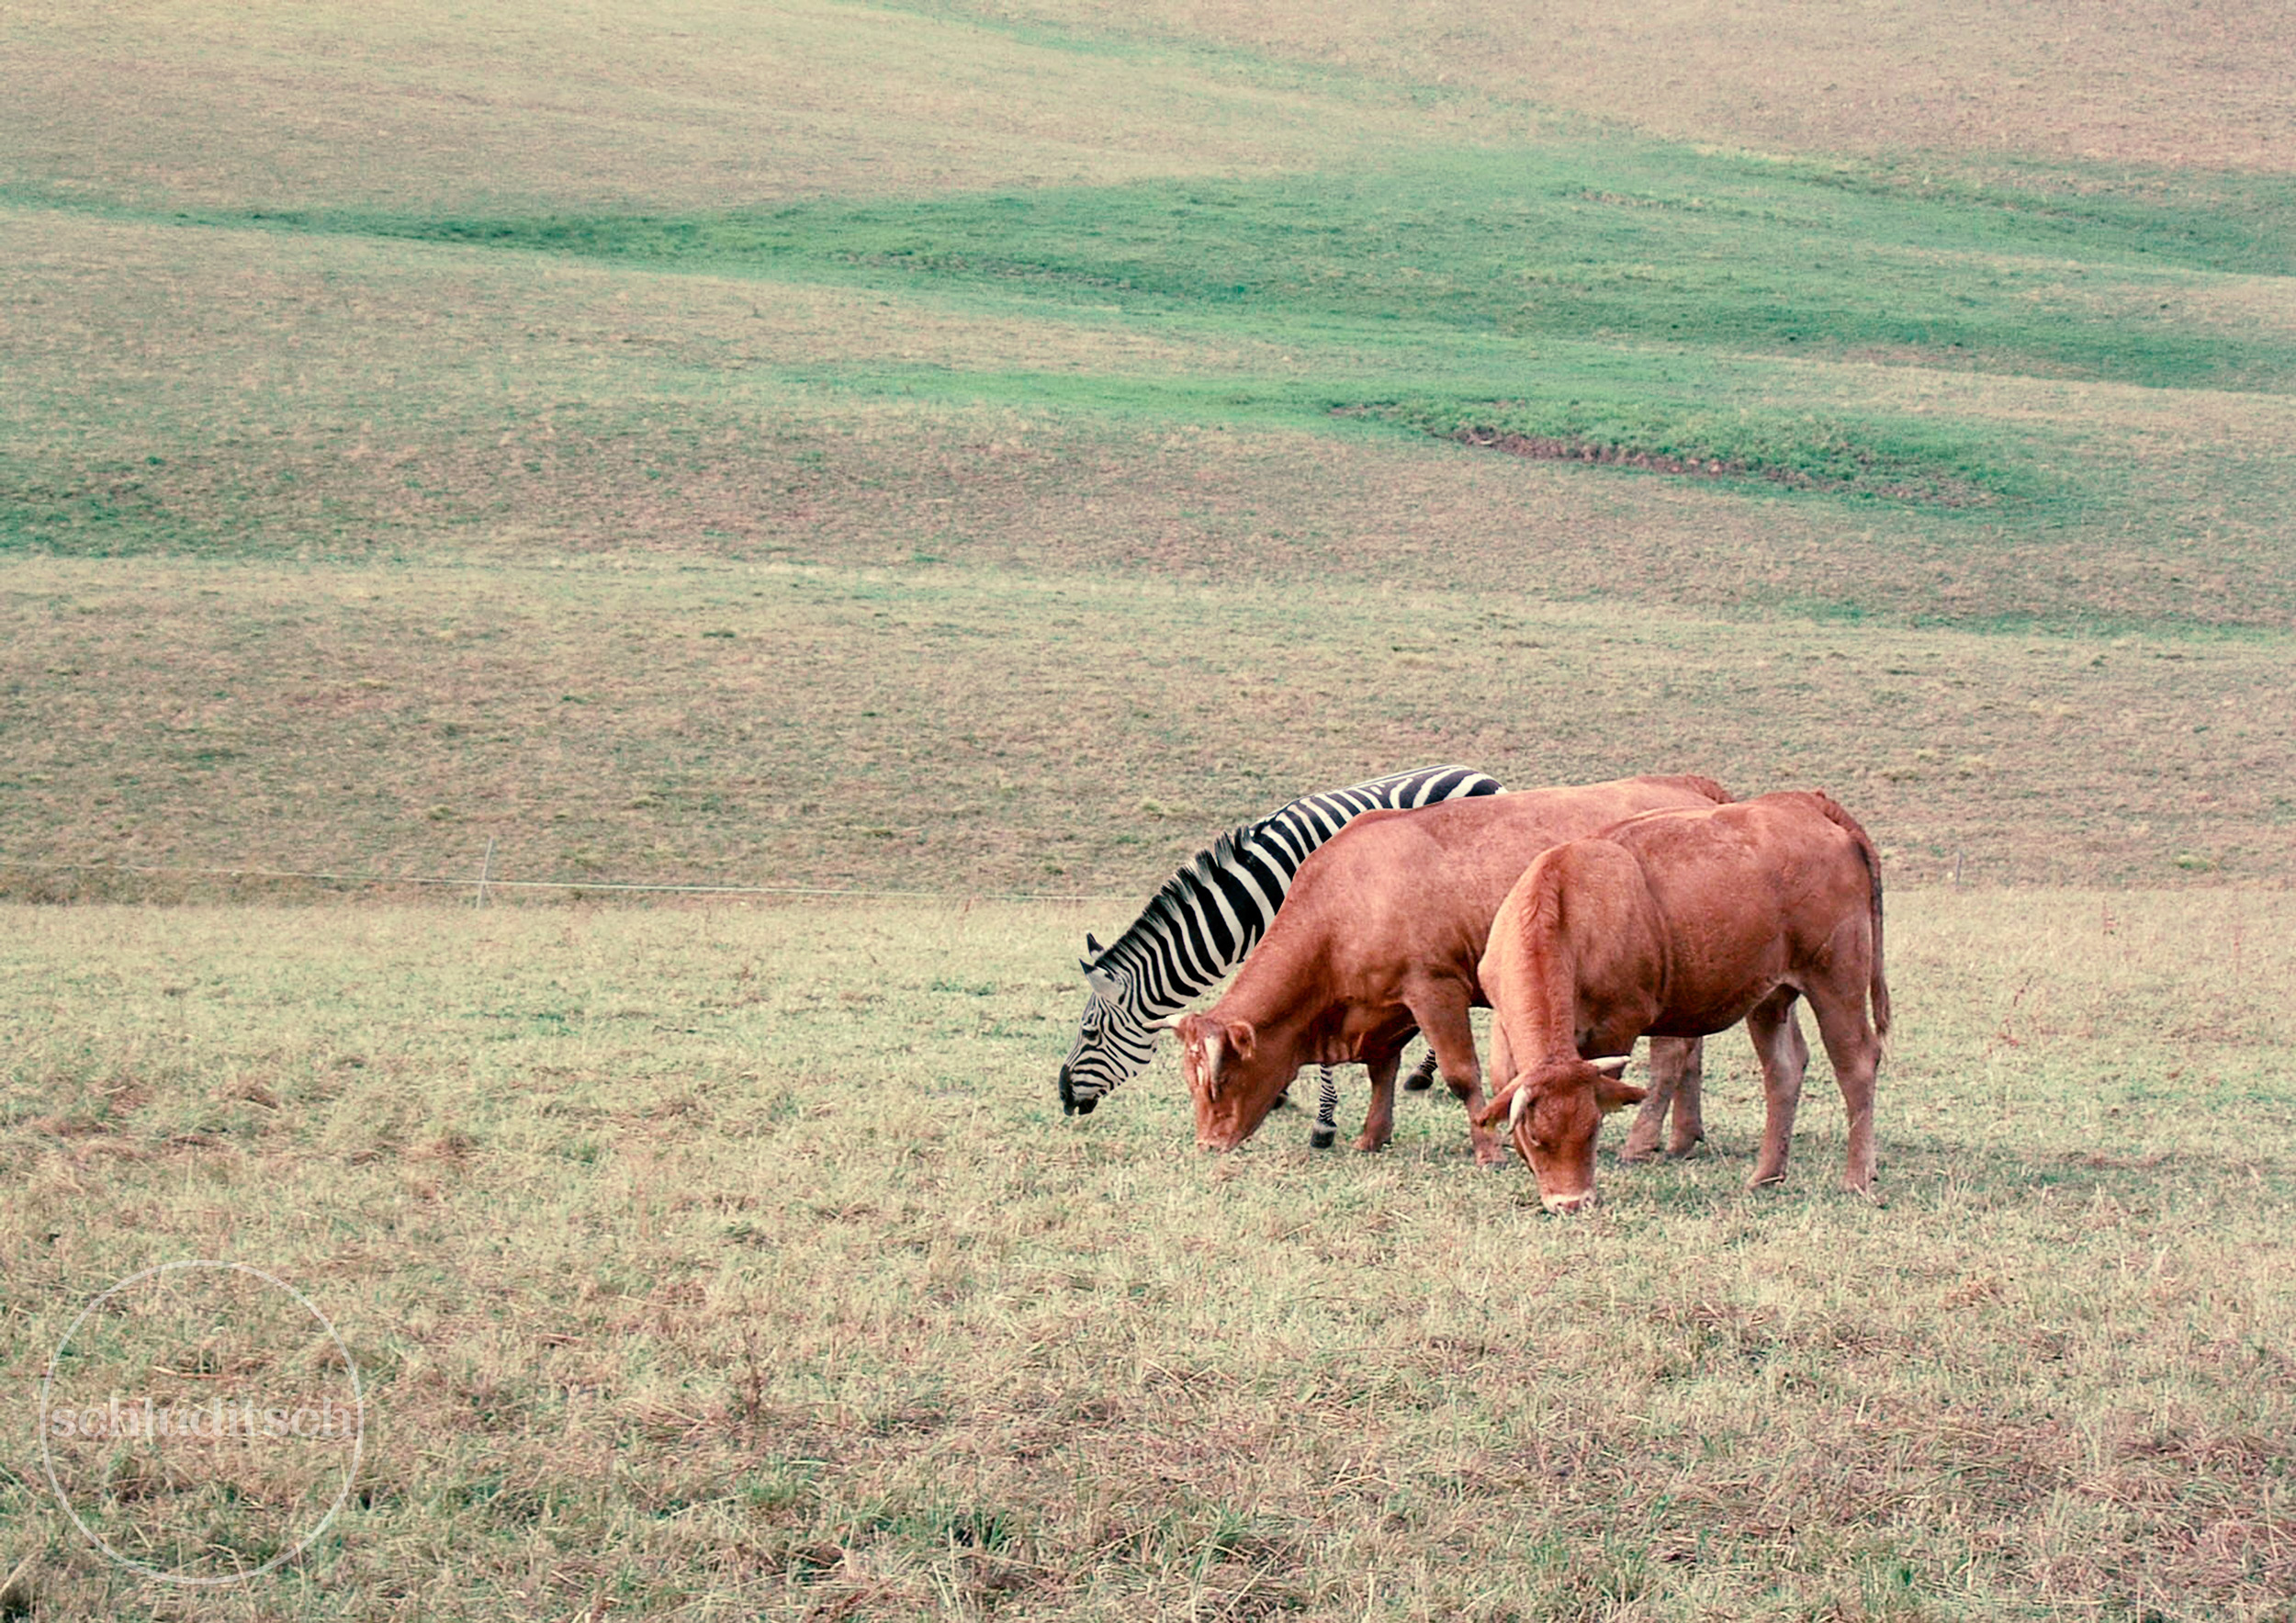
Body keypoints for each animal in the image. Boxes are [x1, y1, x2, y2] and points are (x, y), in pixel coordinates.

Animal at [1058, 764, 1504, 1145]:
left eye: (1090, 1033)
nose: (1063, 1094)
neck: (1246, 903)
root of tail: (1479, 773)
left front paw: (1323, 1123)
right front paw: (1277, 1092)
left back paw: (1424, 1074)